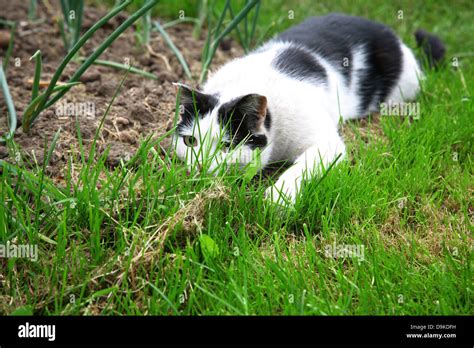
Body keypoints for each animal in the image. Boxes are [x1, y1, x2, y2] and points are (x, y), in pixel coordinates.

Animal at [173, 12, 444, 204]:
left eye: (227, 146)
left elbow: (303, 167)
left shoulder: (327, 143)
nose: (199, 167)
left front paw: (278, 200)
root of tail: (390, 33)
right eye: (190, 142)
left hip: (405, 88)